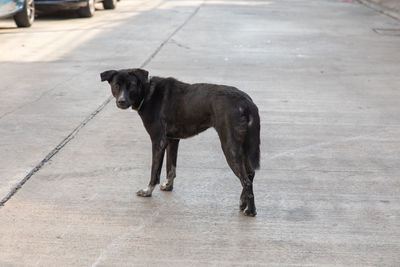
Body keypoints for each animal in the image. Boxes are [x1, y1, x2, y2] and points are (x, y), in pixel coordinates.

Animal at [101, 69, 260, 218]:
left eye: (131, 85)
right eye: (117, 85)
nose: (121, 101)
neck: (147, 92)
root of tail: (246, 101)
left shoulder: (158, 141)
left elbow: (155, 171)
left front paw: (148, 191)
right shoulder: (172, 140)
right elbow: (171, 167)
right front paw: (168, 186)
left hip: (229, 146)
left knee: (246, 180)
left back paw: (251, 211)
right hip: (242, 146)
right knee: (250, 174)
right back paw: (243, 202)